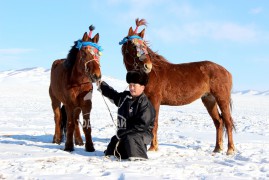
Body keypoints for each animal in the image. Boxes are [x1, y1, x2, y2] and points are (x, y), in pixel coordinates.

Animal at [119, 19, 234, 155]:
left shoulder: (155, 100)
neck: (151, 74)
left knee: (227, 121)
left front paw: (153, 148)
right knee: (218, 122)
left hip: (222, 99)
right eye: (133, 45)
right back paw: (217, 148)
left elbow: (155, 124)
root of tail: (226, 71)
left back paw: (230, 149)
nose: (147, 66)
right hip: (209, 100)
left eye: (144, 46)